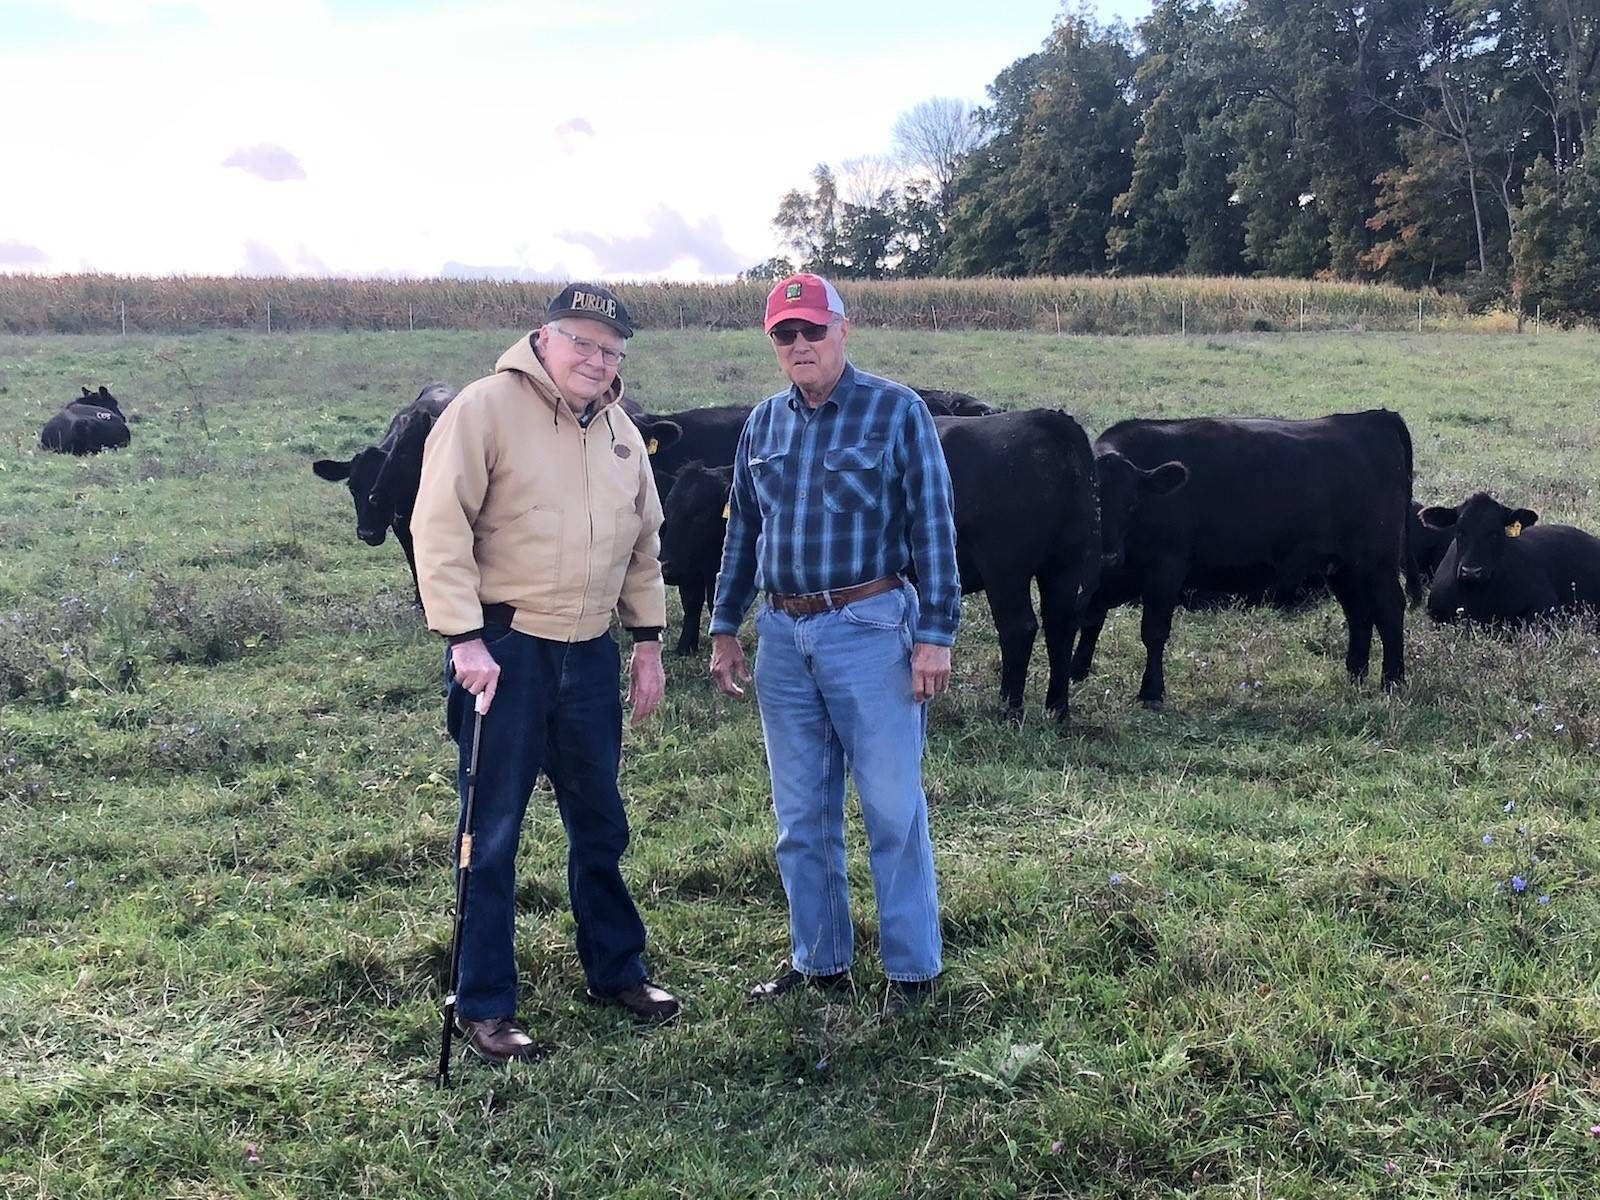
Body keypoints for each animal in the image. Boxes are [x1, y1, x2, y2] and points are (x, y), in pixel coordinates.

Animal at [656, 464, 736, 652]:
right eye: (667, 511)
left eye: (701, 515)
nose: (665, 566)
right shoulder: (689, 573)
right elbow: (691, 604)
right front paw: (685, 646)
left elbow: (714, 603)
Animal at [1075, 412, 1414, 713]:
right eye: (1089, 505)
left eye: (1132, 504)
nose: (1108, 556)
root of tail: (1373, 417)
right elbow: (1091, 622)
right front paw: (1076, 672)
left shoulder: (1165, 571)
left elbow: (1153, 633)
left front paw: (1151, 693)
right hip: (1344, 568)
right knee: (1359, 613)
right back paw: (1355, 675)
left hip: (1377, 564)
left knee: (1389, 610)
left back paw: (1392, 681)